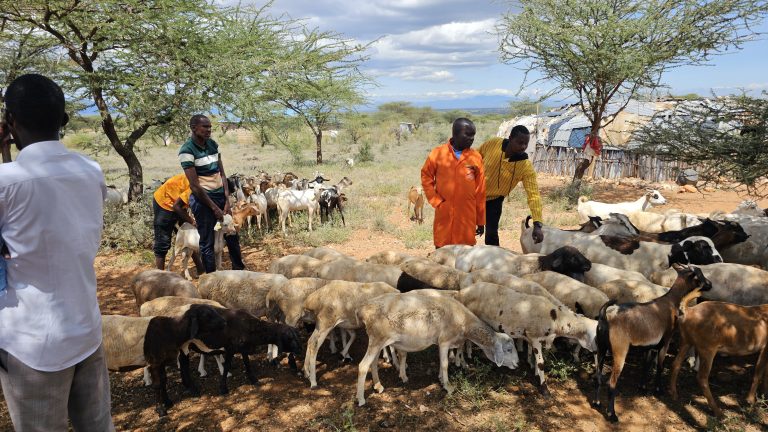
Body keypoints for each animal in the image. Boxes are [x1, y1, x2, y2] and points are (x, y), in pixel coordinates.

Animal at [591, 264, 712, 422]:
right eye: (699, 274)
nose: (710, 284)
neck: (670, 302)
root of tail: (605, 317)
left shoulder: (648, 345)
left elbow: (646, 365)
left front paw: (642, 387)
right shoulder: (666, 340)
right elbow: (660, 366)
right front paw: (658, 390)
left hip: (601, 348)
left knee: (598, 376)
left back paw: (597, 402)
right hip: (620, 350)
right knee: (611, 383)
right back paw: (612, 415)